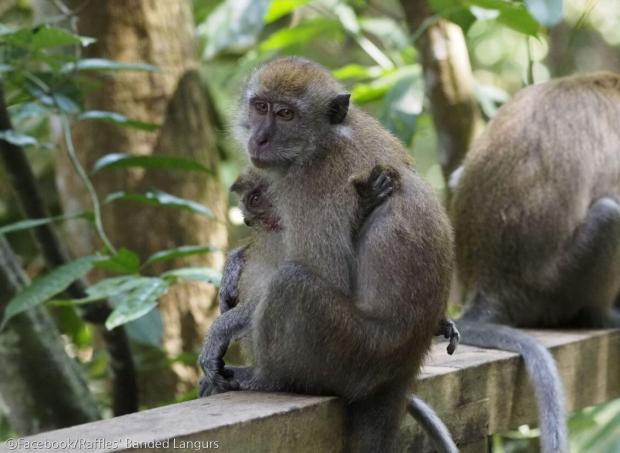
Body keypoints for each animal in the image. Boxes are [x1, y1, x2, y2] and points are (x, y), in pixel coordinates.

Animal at [201, 58, 452, 450]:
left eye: (286, 114)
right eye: (261, 107)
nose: (259, 138)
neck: (325, 139)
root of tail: (403, 367)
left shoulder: (311, 185)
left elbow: (325, 271)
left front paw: (220, 330)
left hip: (351, 354)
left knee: (292, 283)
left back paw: (270, 378)